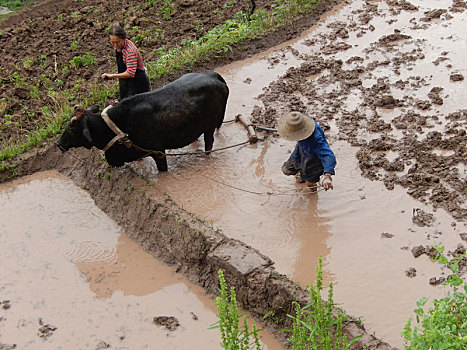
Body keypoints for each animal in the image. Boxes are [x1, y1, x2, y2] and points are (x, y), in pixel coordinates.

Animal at [57, 71, 229, 171]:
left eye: (71, 128)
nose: (58, 144)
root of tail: (214, 74)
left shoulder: (158, 152)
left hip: (210, 126)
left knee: (209, 144)